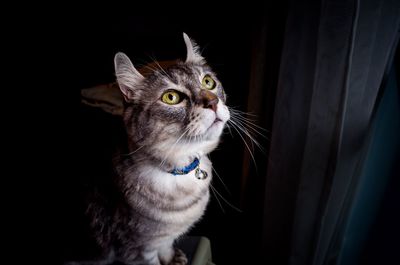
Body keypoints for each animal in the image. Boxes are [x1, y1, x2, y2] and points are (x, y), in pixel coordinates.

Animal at [66, 33, 231, 264]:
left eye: (208, 82)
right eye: (171, 97)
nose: (214, 101)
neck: (178, 172)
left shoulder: (163, 240)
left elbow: (167, 245)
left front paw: (173, 257)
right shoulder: (136, 250)